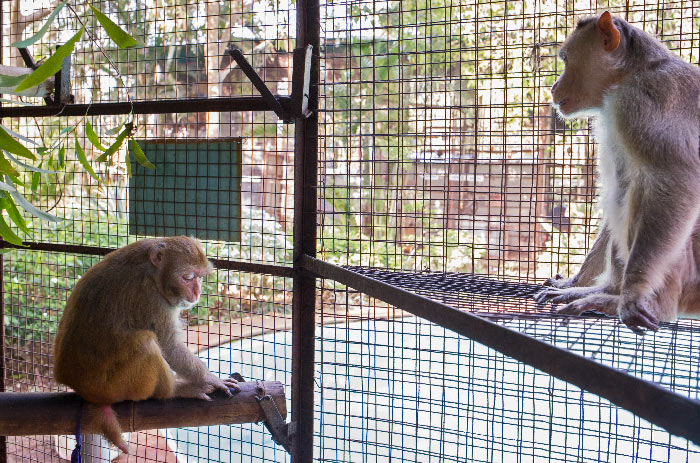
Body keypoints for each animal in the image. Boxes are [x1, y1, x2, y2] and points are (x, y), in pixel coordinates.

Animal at [53, 236, 240, 453]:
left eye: (199, 277)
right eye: (188, 277)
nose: (197, 293)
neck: (153, 272)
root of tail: (84, 391)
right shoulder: (151, 298)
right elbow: (169, 345)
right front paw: (209, 378)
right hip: (112, 387)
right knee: (146, 343)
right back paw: (174, 390)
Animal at [535, 11, 700, 332]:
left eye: (565, 60)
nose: (553, 87)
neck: (632, 73)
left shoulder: (642, 102)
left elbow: (678, 179)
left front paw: (632, 293)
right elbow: (619, 184)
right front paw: (576, 281)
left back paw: (645, 303)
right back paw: (607, 289)